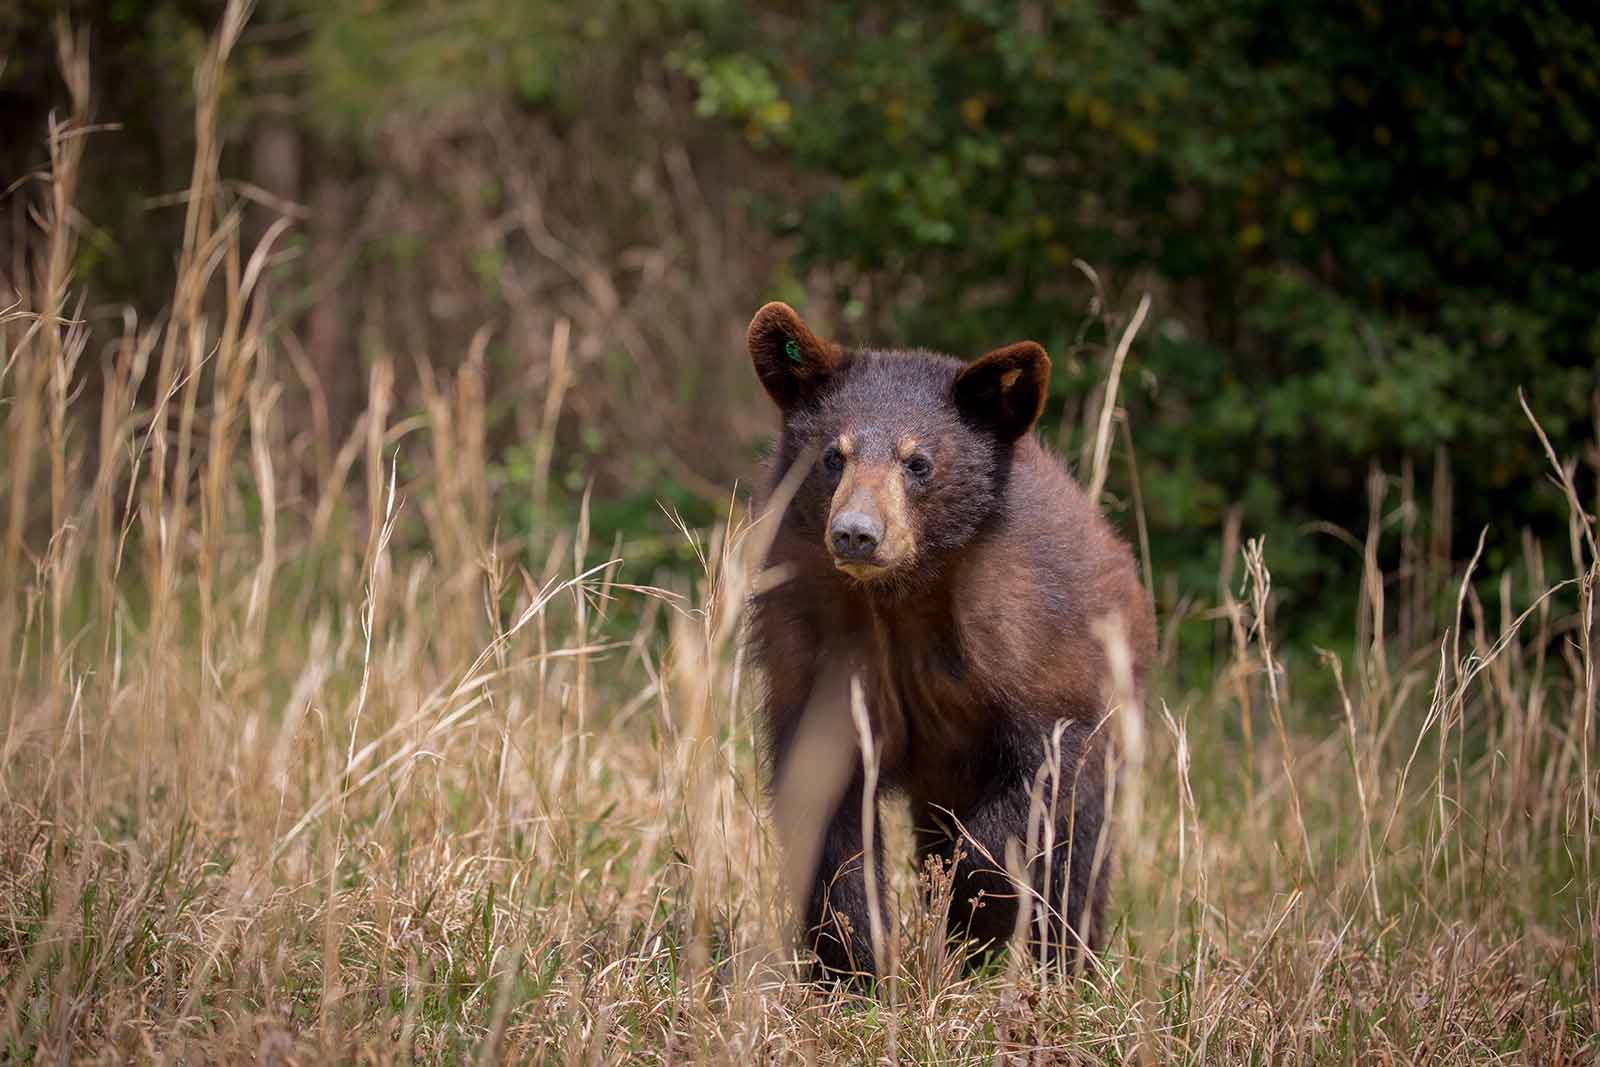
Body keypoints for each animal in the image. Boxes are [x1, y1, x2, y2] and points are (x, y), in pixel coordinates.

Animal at [745, 301, 1156, 983]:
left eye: (918, 462)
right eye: (834, 455)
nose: (856, 533)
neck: (904, 597)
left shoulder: (1033, 646)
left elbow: (1036, 791)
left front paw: (970, 914)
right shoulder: (814, 644)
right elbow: (829, 810)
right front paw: (856, 964)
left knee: (1081, 856)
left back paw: (1067, 967)